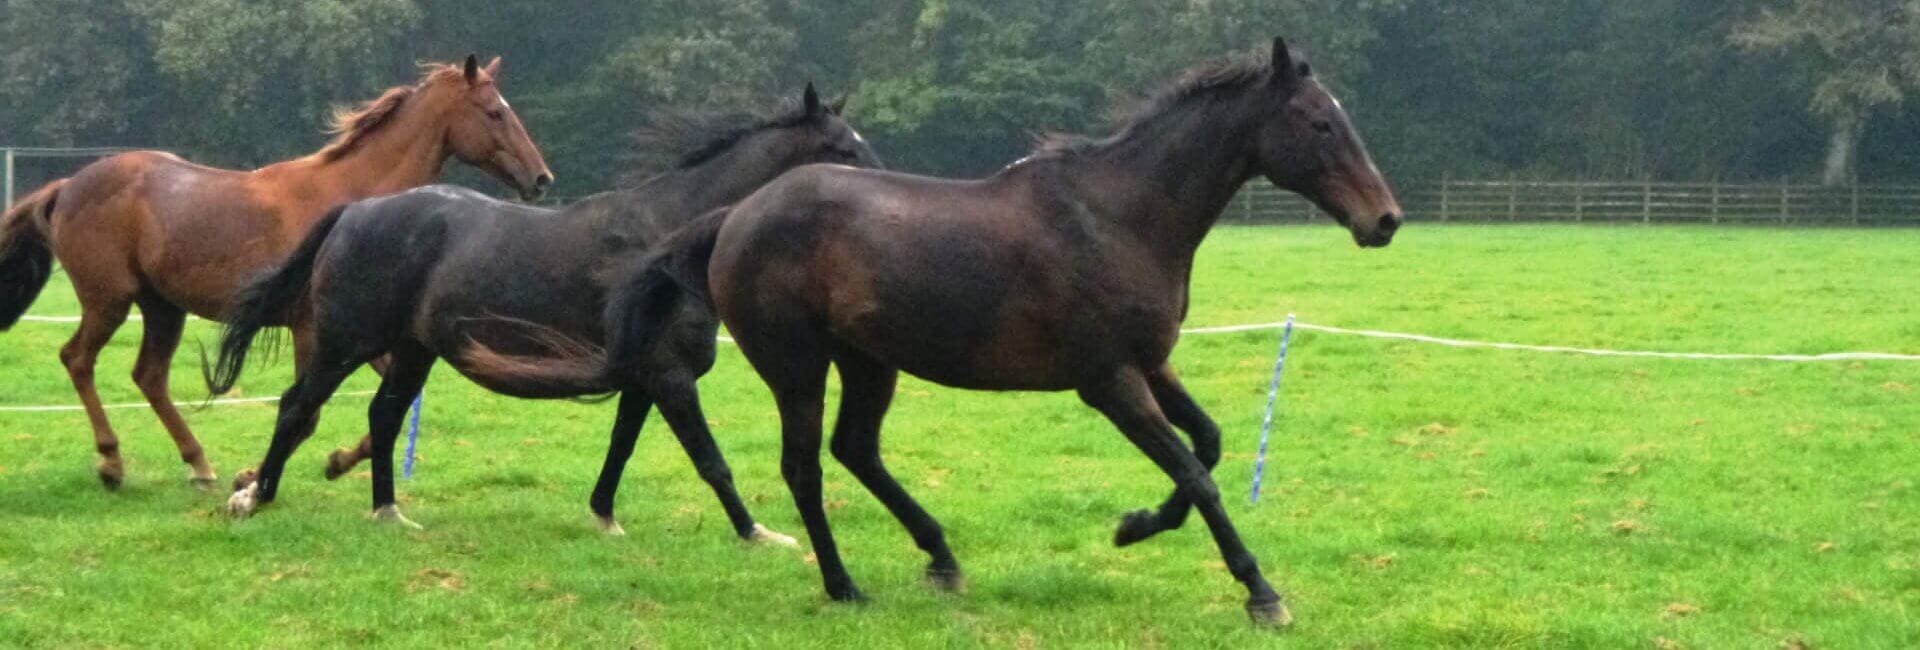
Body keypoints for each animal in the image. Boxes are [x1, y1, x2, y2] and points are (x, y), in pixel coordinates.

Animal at [0, 56, 556, 490]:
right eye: (493, 112)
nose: (541, 179)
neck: (351, 201)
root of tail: (68, 185)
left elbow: (391, 400)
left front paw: (337, 461)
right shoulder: (313, 331)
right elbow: (306, 412)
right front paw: (255, 477)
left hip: (162, 307)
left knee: (149, 376)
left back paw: (199, 464)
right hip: (109, 300)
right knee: (78, 360)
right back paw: (112, 462)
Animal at [474, 36, 1405, 625]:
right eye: (1320, 123)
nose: (1385, 220)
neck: (1118, 216)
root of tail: (734, 215)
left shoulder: (1150, 365)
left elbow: (1206, 449)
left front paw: (1135, 524)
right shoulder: (1107, 381)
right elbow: (1198, 474)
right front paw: (1261, 593)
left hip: (868, 363)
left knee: (855, 451)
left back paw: (942, 558)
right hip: (798, 364)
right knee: (807, 467)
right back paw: (846, 586)